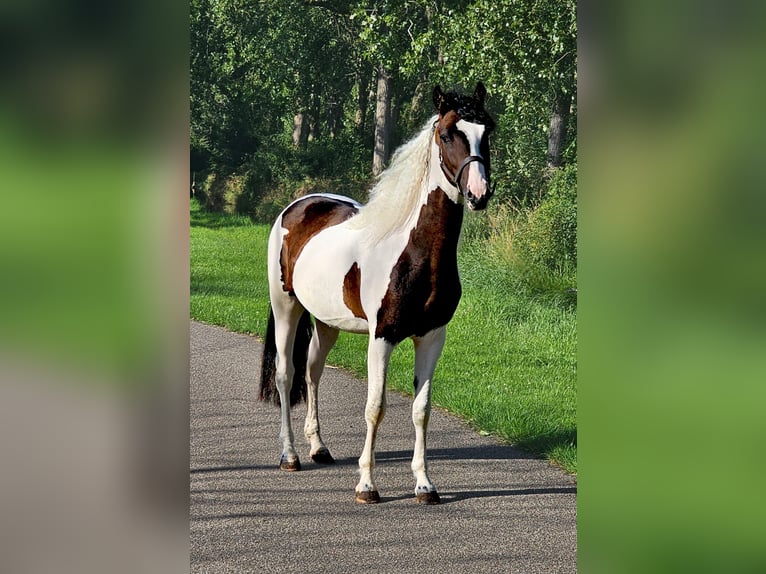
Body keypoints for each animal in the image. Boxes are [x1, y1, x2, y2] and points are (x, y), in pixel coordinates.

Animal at [259, 82, 496, 504]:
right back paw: (290, 455)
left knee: (313, 370)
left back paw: (318, 448)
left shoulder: (432, 337)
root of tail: (300, 204)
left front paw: (424, 485)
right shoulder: (381, 337)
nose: (478, 192)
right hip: (286, 306)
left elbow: (421, 409)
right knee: (287, 375)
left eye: (489, 132)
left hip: (327, 322)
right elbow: (375, 407)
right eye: (447, 134)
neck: (413, 252)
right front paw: (367, 485)